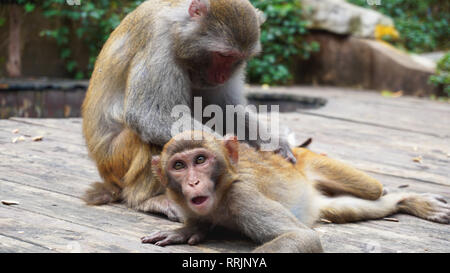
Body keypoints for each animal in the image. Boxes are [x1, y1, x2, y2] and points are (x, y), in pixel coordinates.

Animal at [81, 0, 296, 218]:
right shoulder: (159, 42)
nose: (223, 77)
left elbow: (223, 110)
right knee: (155, 141)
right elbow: (148, 116)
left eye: (237, 58)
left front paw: (275, 142)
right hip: (116, 160)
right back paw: (146, 199)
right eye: (223, 55)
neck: (179, 31)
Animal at [143, 131, 450, 252]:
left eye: (200, 160)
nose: (193, 182)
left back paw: (406, 198)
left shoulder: (242, 196)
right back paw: (404, 201)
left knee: (374, 190)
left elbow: (302, 237)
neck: (220, 196)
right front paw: (187, 231)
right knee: (347, 207)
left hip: (311, 160)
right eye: (179, 165)